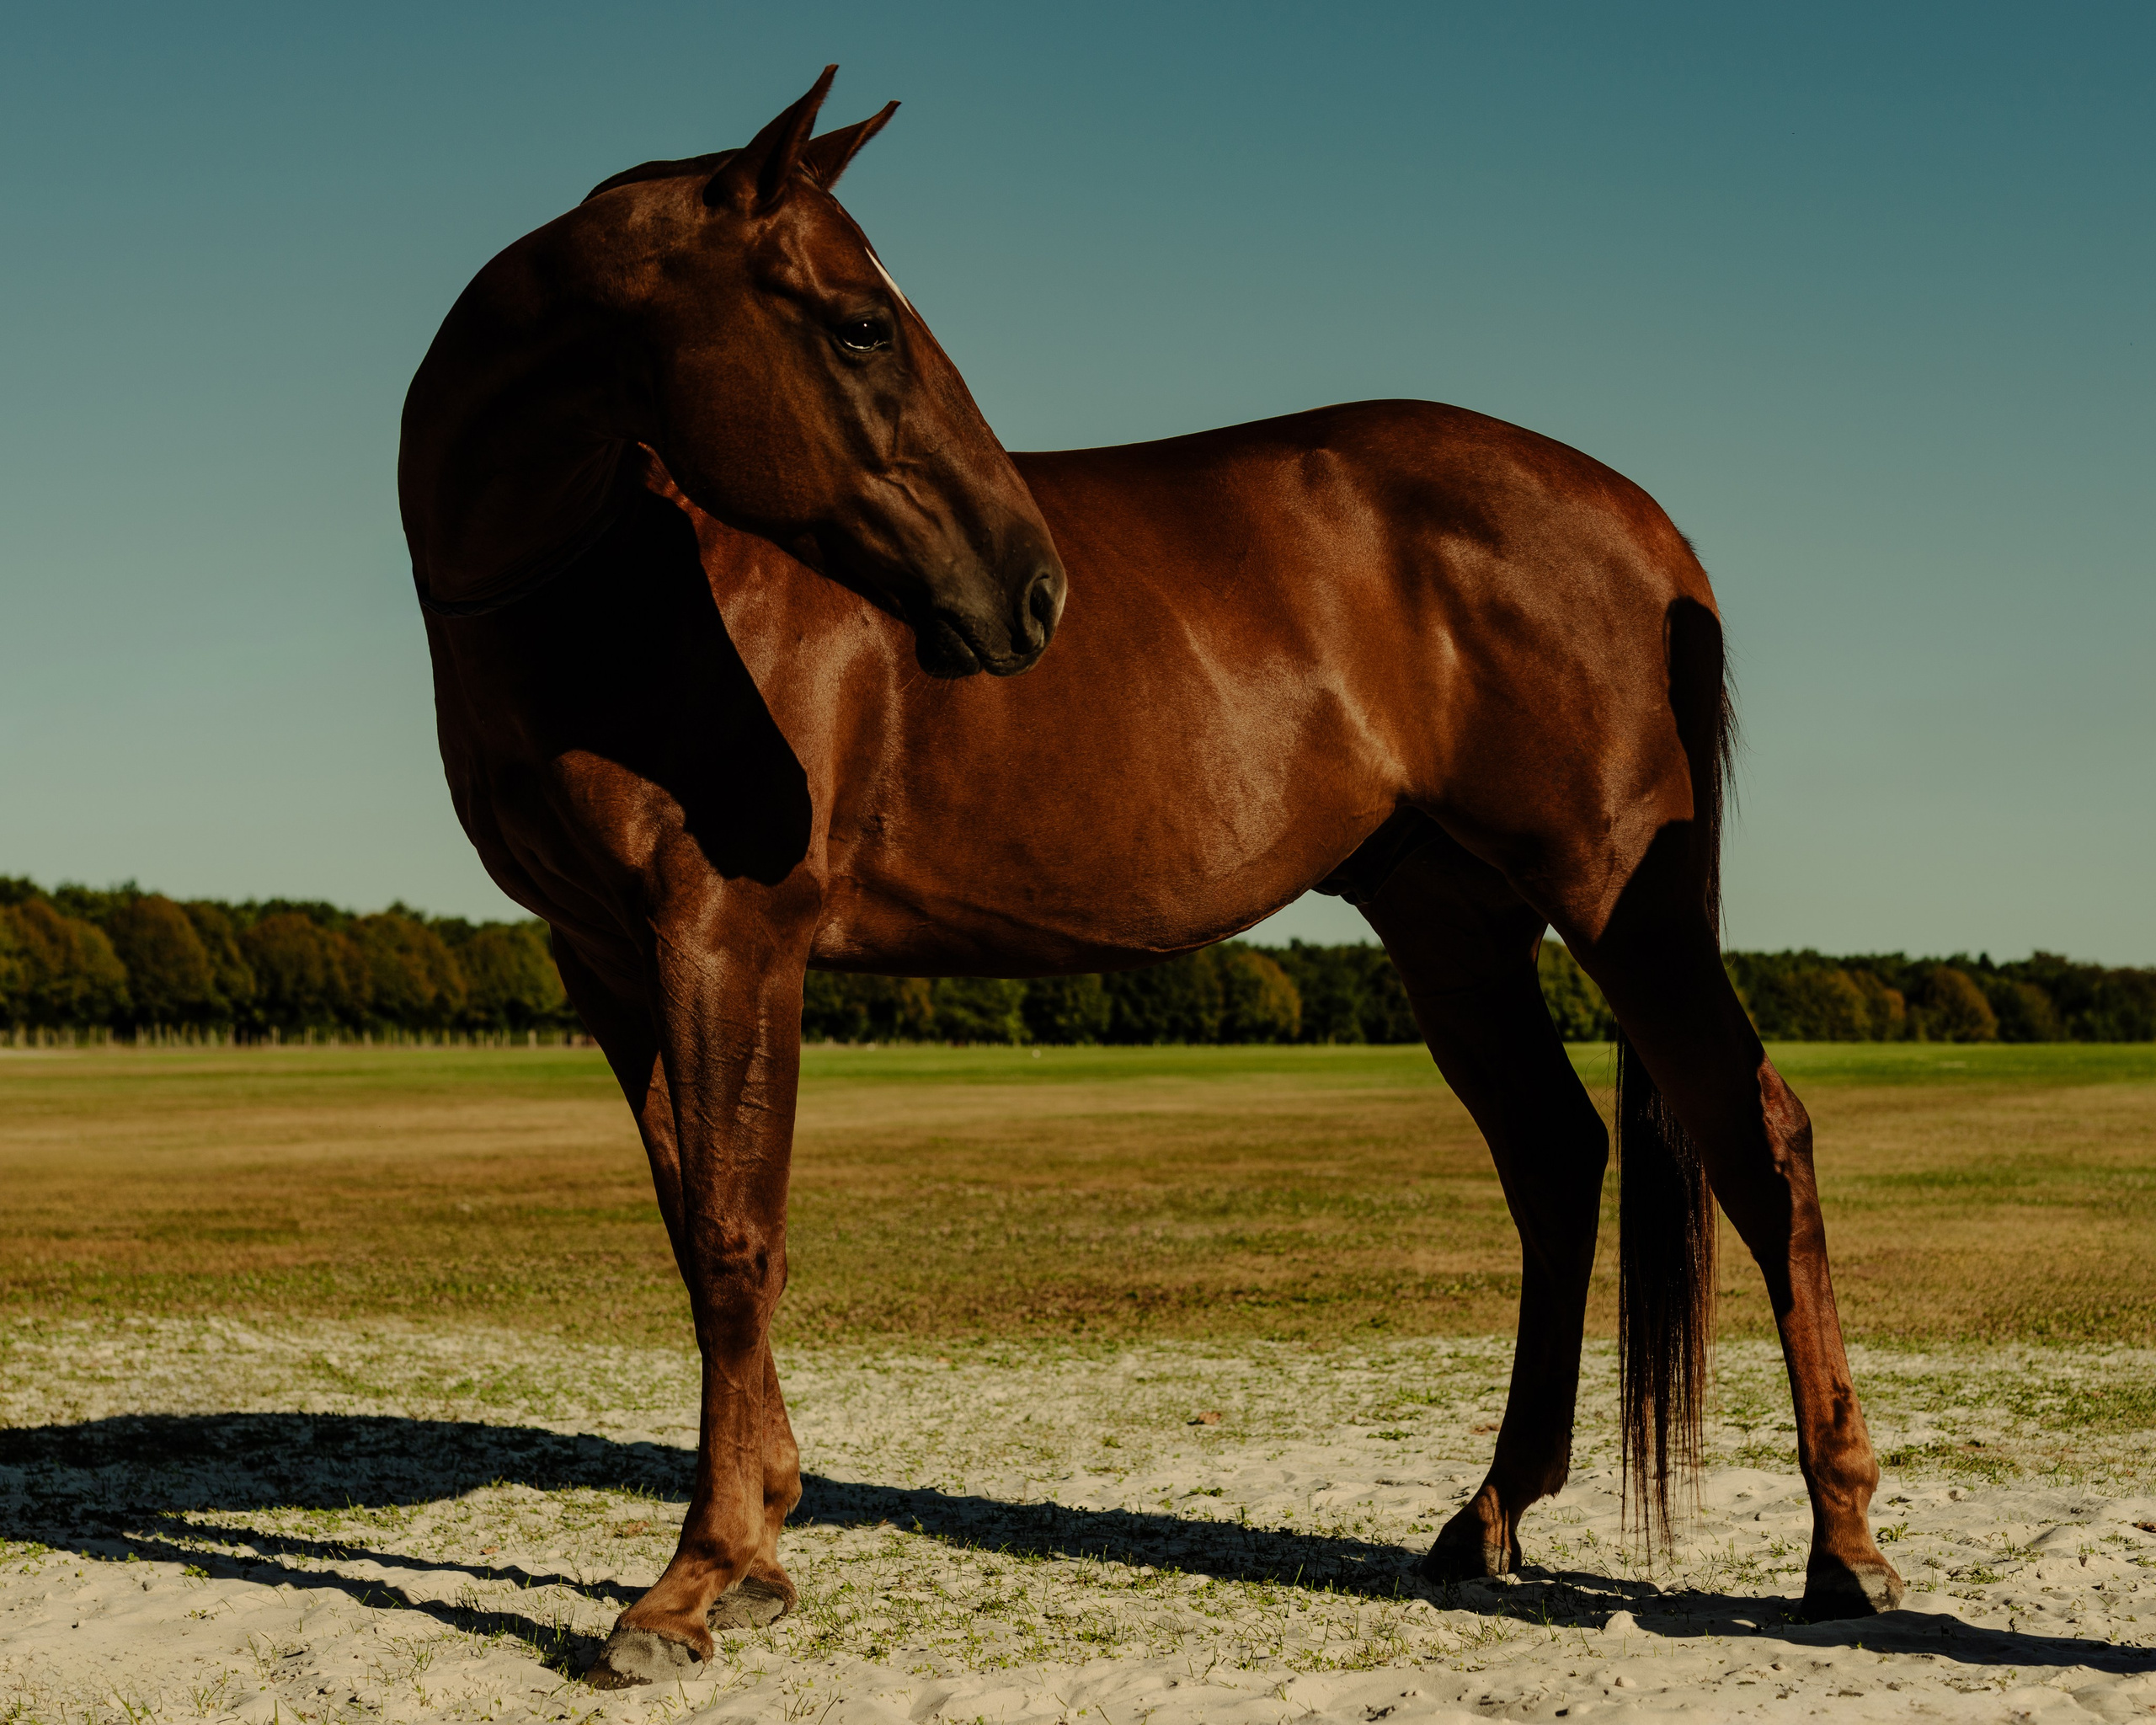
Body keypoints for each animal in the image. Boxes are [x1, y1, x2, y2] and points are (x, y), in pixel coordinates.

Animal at [400, 68, 1904, 1689]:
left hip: (1625, 900)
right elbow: (696, 1232)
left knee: (1758, 1145)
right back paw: (1490, 1516)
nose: (1032, 591)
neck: (627, 582)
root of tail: (1644, 522)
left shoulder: (731, 935)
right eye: (862, 323)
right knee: (1558, 1159)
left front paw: (696, 1578)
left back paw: (1843, 1546)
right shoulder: (610, 958)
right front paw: (762, 1540)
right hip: (1449, 924)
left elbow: (741, 1240)